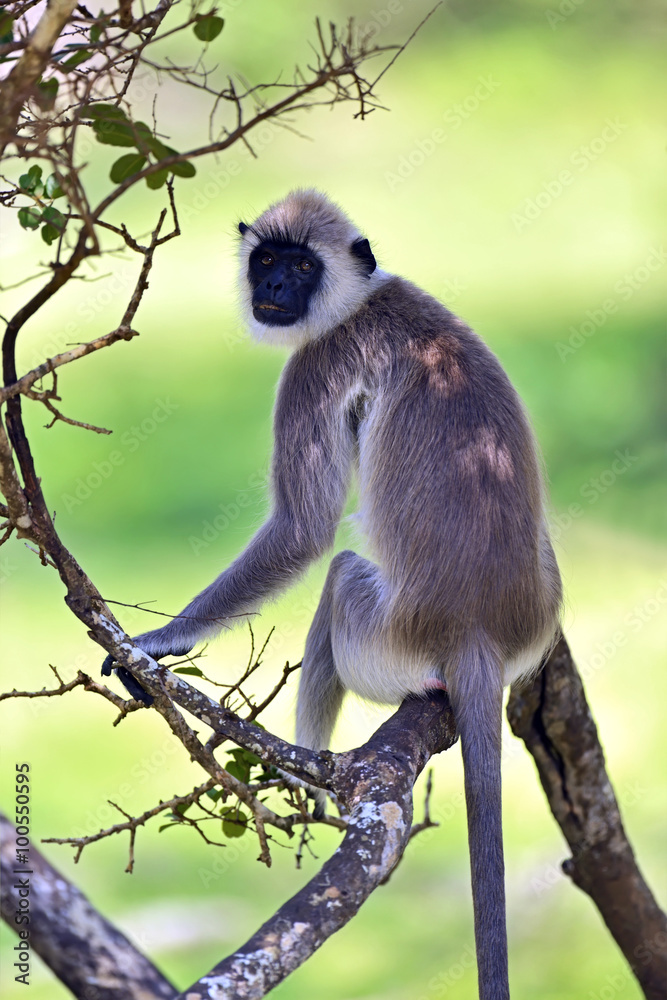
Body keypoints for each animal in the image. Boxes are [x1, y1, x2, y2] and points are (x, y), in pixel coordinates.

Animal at [102, 189, 562, 999]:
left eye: (301, 266)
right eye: (267, 259)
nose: (273, 288)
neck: (365, 300)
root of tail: (476, 633)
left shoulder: (317, 362)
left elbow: (304, 530)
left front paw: (155, 644)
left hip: (380, 637)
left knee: (342, 571)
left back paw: (304, 781)